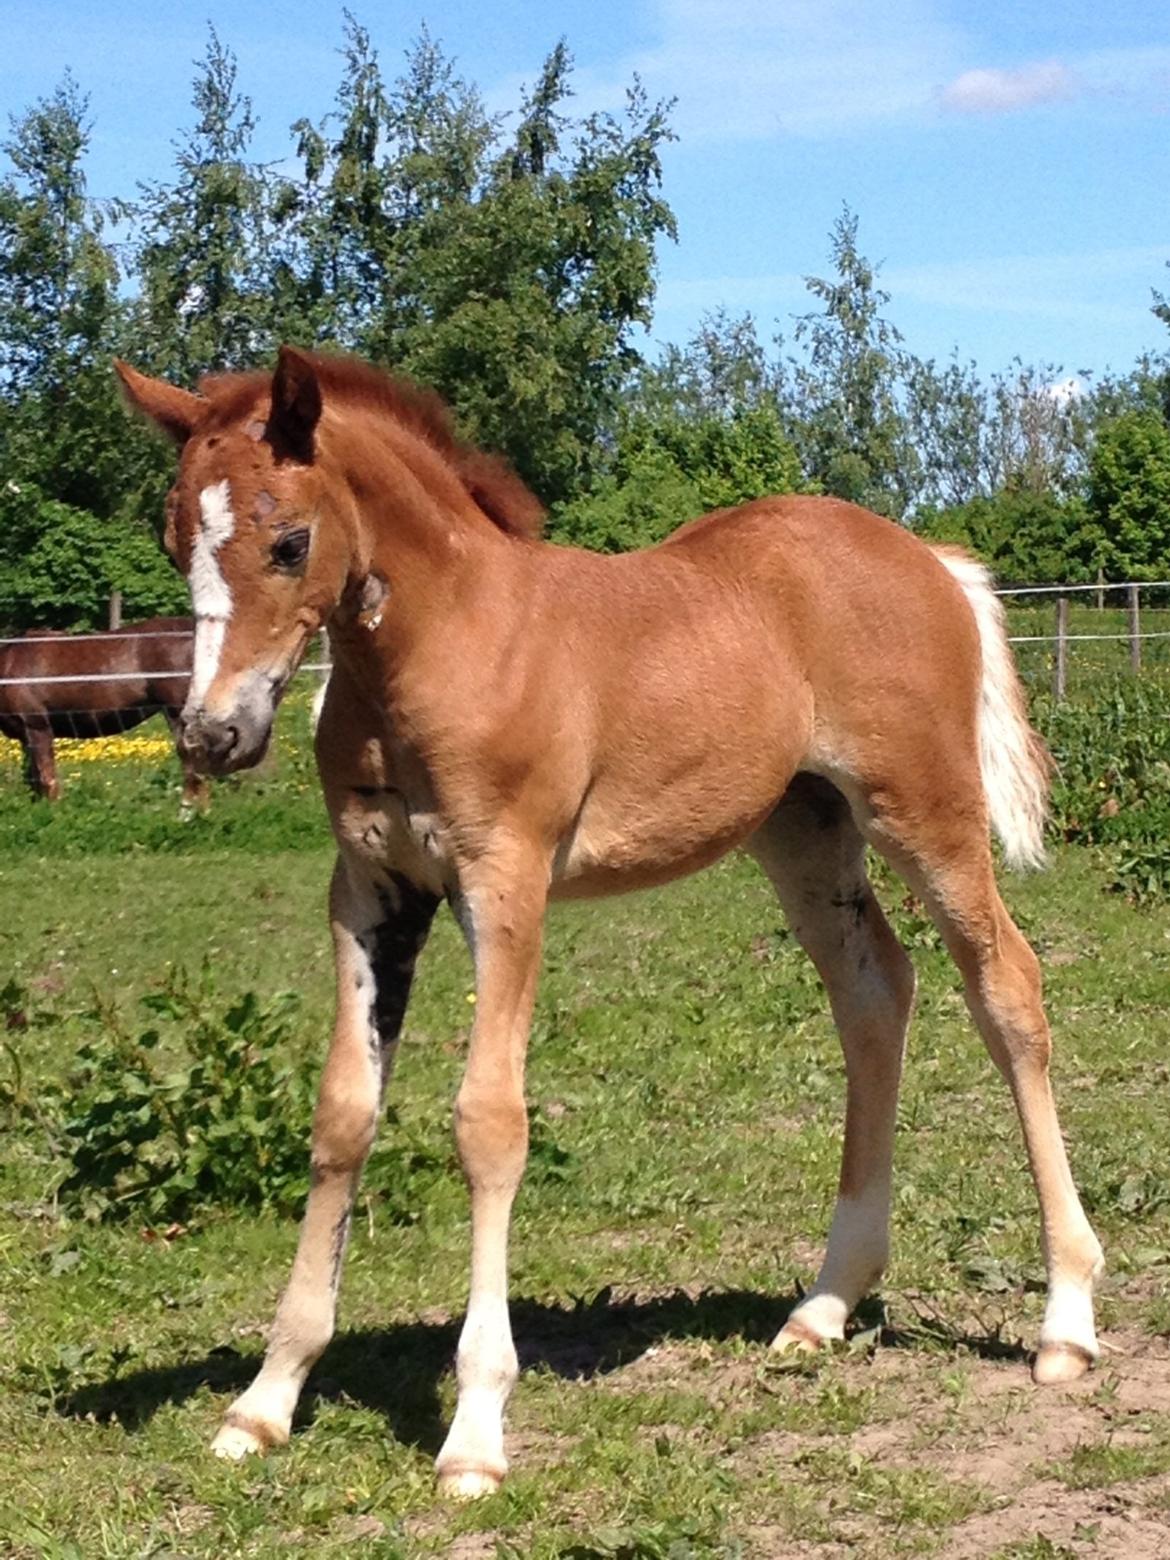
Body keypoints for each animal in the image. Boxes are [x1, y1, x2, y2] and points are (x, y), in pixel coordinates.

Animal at [116, 347, 1110, 1491]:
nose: (213, 735)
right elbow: (342, 1117)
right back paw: (823, 1305)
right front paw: (266, 1400)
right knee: (874, 994)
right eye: (176, 540)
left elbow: (488, 1122)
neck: (447, 642)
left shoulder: (505, 881)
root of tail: (929, 559)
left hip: (925, 812)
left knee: (1008, 990)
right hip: (803, 831)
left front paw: (475, 1432)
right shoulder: (370, 890)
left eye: (289, 541)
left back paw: (1065, 1321)